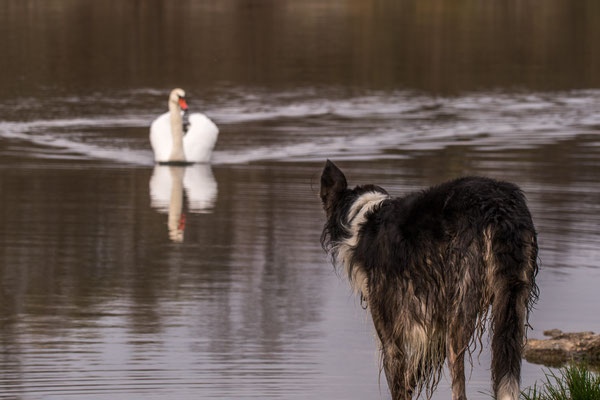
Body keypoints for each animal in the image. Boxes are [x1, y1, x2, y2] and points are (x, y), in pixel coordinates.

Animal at [318, 160, 540, 400]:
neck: (364, 223)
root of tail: (500, 209)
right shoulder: (436, 327)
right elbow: (412, 379)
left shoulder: (391, 336)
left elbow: (399, 385)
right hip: (512, 305)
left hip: (460, 316)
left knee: (460, 391)